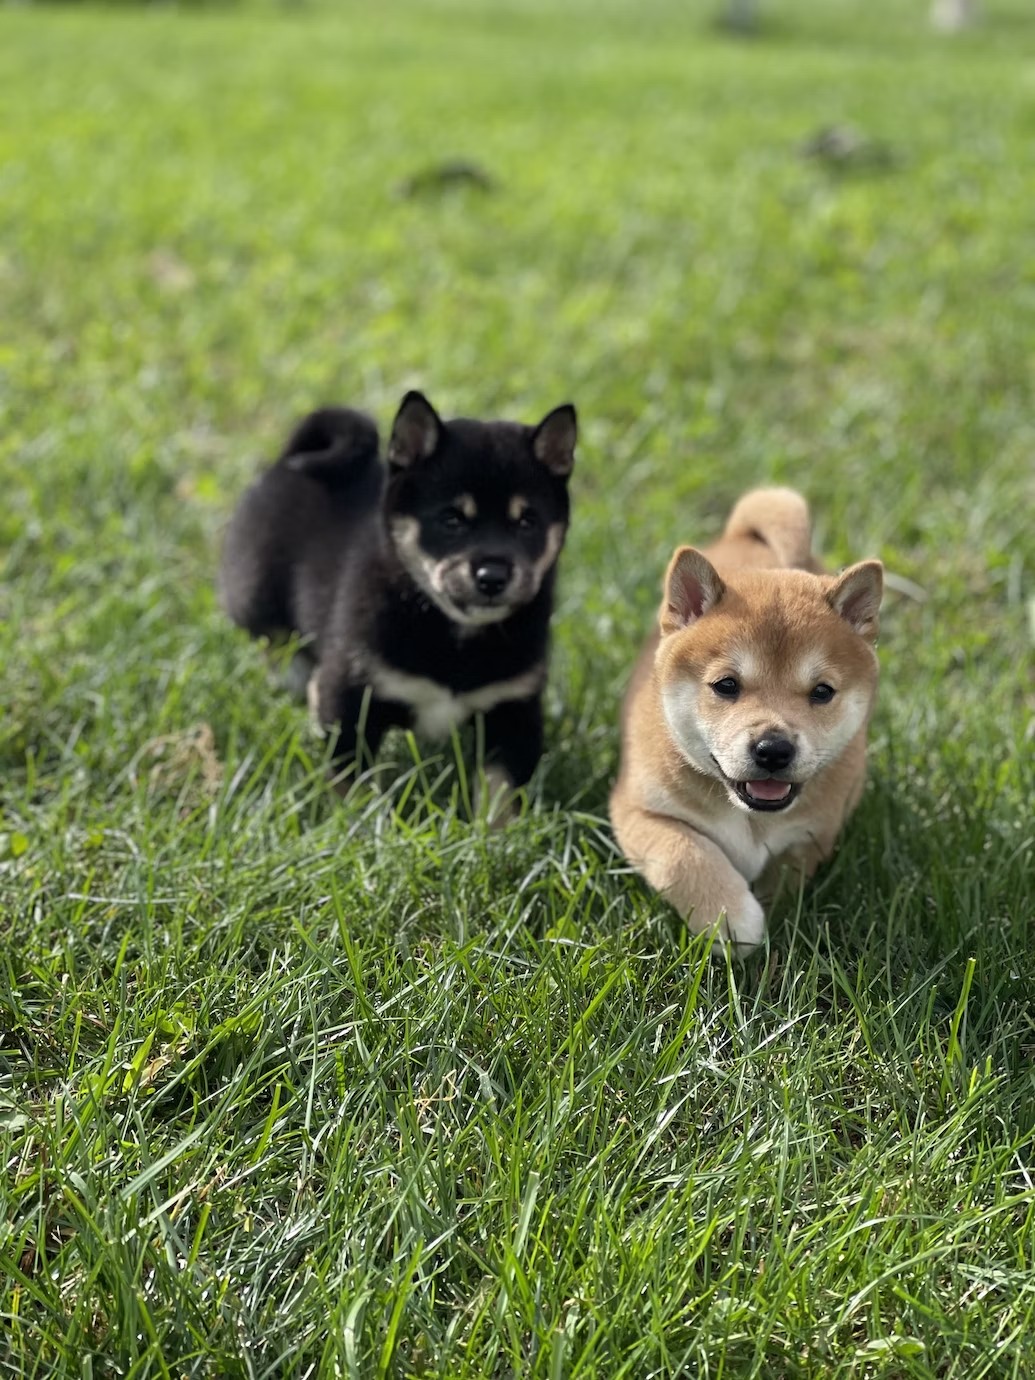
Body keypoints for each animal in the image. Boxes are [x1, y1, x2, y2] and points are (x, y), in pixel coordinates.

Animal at [220, 389, 576, 805]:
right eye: (452, 519)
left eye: (527, 522)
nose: (493, 577)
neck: (454, 635)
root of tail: (285, 462)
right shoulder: (350, 695)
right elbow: (351, 779)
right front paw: (353, 817)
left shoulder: (513, 711)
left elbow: (500, 794)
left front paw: (492, 826)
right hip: (254, 599)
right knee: (276, 644)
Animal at [612, 491, 888, 954]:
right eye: (726, 685)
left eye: (822, 692)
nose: (773, 750)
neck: (749, 817)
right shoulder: (637, 809)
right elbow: (682, 854)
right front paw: (729, 917)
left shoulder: (811, 835)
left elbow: (785, 878)